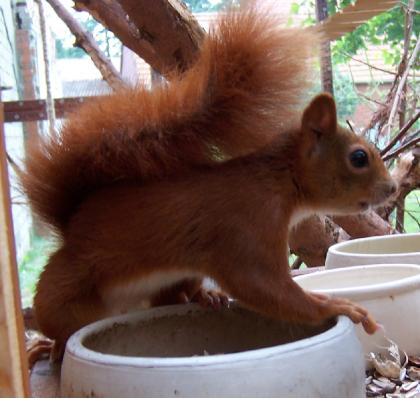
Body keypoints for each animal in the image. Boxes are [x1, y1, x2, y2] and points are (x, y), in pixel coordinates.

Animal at [20, 8, 394, 358]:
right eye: (359, 158)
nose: (391, 189)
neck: (280, 182)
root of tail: (72, 224)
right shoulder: (246, 228)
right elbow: (264, 286)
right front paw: (335, 305)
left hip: (182, 272)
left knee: (170, 297)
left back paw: (205, 295)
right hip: (66, 294)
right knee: (62, 324)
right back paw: (49, 347)